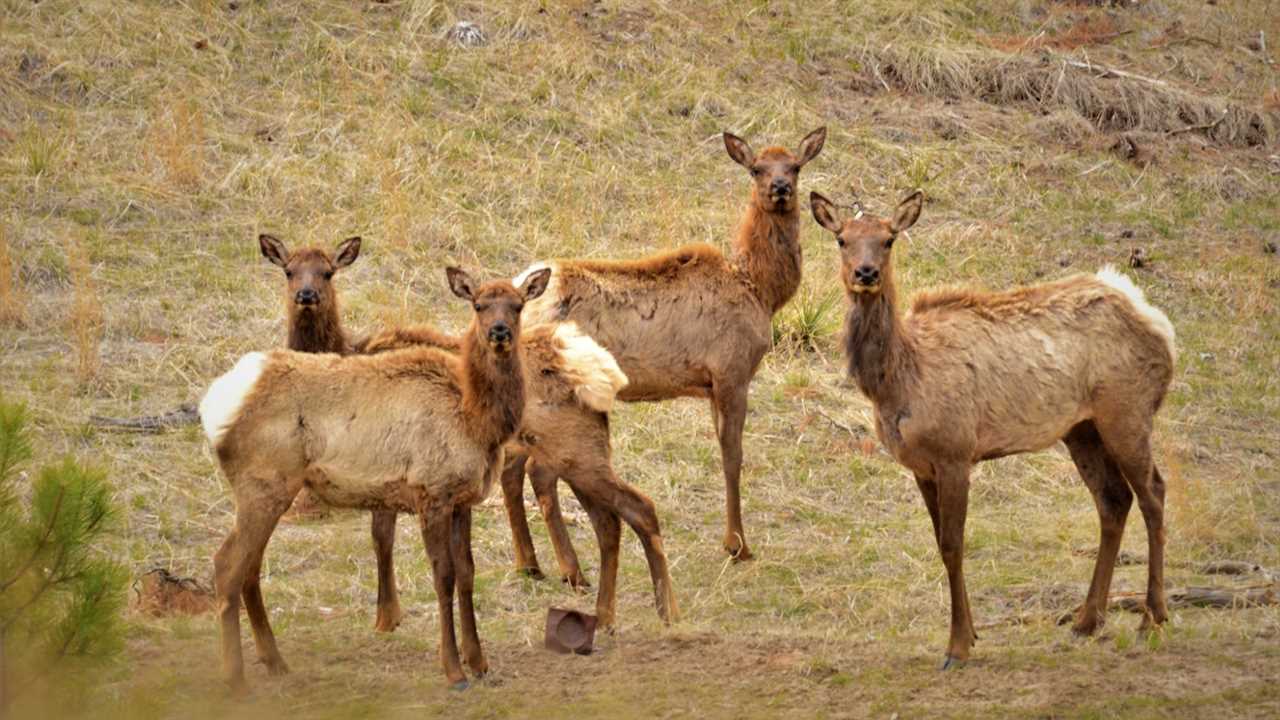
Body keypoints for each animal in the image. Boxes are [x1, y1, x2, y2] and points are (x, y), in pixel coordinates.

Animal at [199, 265, 550, 691]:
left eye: (517, 305)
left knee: (249, 566)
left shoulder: (461, 499)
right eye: (479, 305)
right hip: (263, 483)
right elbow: (444, 575)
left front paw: (479, 661)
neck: (477, 422)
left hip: (269, 490)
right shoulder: (431, 491)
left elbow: (467, 572)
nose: (499, 331)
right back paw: (234, 675)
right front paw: (453, 670)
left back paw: (275, 661)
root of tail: (212, 406)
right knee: (226, 563)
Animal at [358, 322, 680, 625]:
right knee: (607, 520)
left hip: (577, 457)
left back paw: (666, 611)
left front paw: (387, 618)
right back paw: (602, 612)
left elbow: (387, 537)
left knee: (639, 508)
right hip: (576, 460)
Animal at [504, 127, 824, 566]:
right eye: (757, 168)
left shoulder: (711, 384)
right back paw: (566, 568)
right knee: (536, 471)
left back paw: (529, 562)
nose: (780, 188)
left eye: (794, 166)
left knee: (510, 467)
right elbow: (733, 457)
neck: (761, 289)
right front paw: (737, 545)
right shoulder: (731, 371)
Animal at [814, 188, 1172, 666]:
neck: (898, 381)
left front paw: (958, 645)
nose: (865, 272)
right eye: (842, 239)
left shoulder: (955, 451)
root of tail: (1158, 322)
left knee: (1153, 493)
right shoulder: (920, 466)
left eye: (888, 239)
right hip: (1082, 428)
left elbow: (953, 544)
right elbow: (940, 543)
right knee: (1114, 500)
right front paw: (971, 634)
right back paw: (1086, 620)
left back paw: (1152, 616)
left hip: (1127, 411)